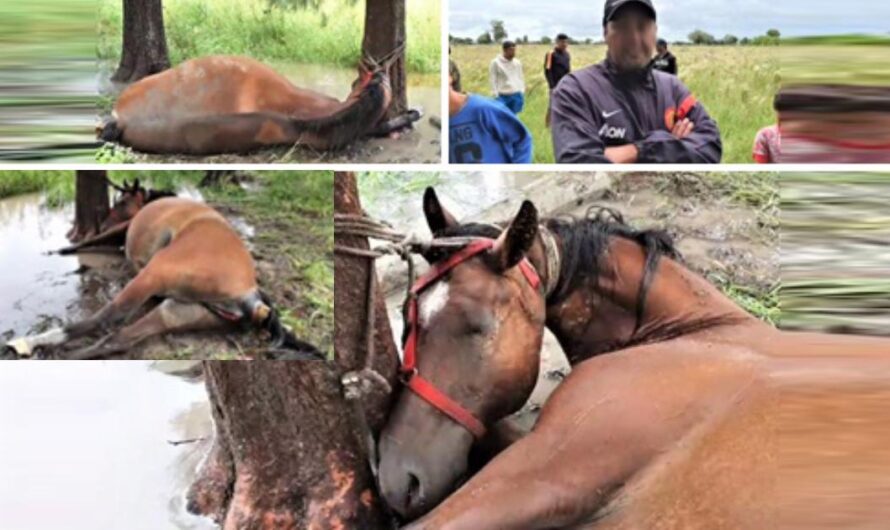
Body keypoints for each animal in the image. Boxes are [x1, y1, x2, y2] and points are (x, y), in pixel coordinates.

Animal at [5, 184, 320, 360]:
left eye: (121, 201)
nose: (103, 218)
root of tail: (252, 299)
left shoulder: (122, 231)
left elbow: (87, 243)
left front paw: (60, 250)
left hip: (151, 277)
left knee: (104, 319)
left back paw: (30, 344)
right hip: (176, 312)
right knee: (120, 338)